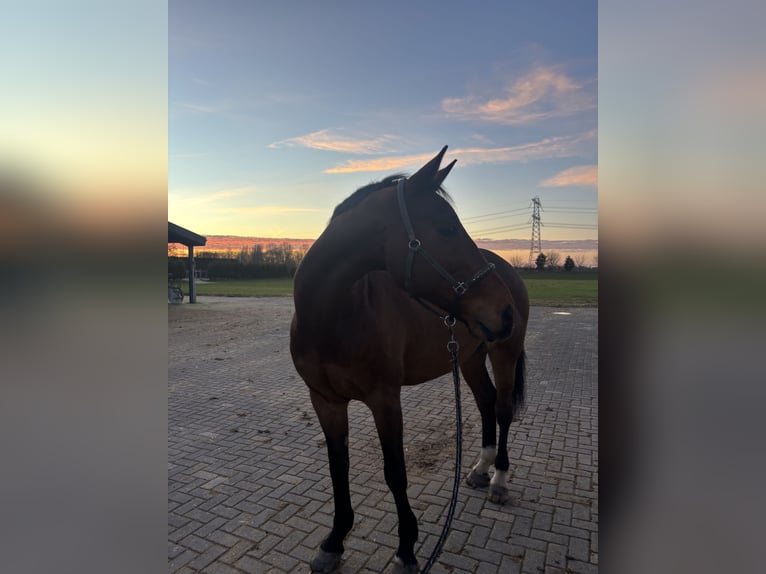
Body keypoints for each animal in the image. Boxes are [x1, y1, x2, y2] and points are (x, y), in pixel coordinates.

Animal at [290, 147, 529, 573]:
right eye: (446, 228)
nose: (504, 312)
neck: (334, 317)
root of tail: (508, 271)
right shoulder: (325, 401)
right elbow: (338, 467)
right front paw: (334, 541)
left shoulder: (385, 400)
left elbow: (395, 473)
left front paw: (406, 549)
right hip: (470, 359)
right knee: (485, 403)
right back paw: (479, 470)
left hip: (505, 353)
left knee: (502, 409)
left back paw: (499, 481)